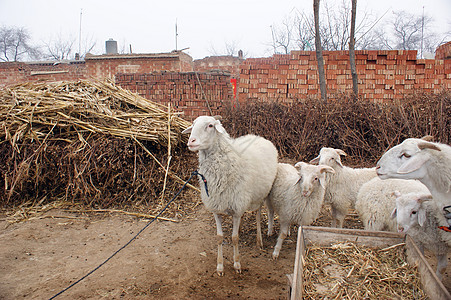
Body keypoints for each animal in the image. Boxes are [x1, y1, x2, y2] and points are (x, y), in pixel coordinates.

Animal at [182, 116, 278, 276]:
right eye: (193, 124)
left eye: (210, 125)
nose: (191, 141)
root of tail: (258, 136)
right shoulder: (217, 207)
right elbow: (219, 238)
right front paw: (220, 266)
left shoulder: (237, 208)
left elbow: (234, 238)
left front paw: (237, 264)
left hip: (261, 194)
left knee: (258, 214)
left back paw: (259, 240)